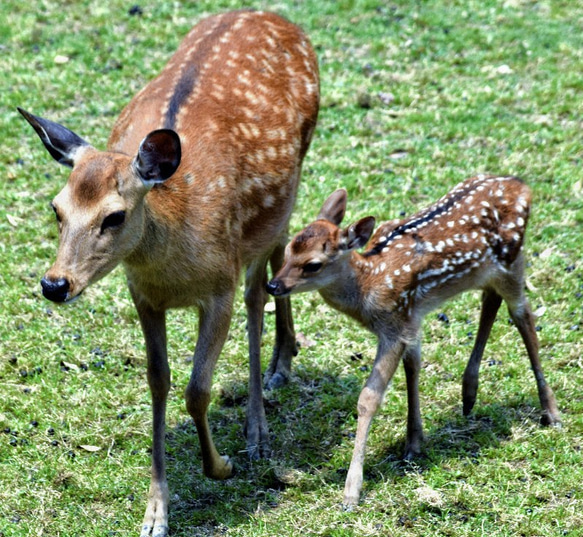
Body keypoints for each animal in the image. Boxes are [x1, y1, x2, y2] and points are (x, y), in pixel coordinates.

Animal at [19, 9, 320, 536]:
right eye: (56, 208)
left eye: (115, 216)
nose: (55, 284)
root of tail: (271, 15)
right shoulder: (143, 295)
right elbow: (157, 382)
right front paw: (155, 510)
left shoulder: (218, 285)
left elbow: (197, 390)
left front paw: (220, 466)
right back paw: (283, 360)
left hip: (280, 198)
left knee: (257, 295)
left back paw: (259, 426)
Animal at [268, 176, 560, 506]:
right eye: (288, 249)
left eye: (313, 264)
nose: (273, 285)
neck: (369, 285)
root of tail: (521, 184)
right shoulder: (411, 320)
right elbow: (413, 368)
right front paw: (414, 443)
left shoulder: (395, 326)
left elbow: (368, 398)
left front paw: (351, 490)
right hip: (486, 271)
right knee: (491, 299)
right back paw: (469, 394)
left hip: (513, 259)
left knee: (523, 316)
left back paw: (551, 412)